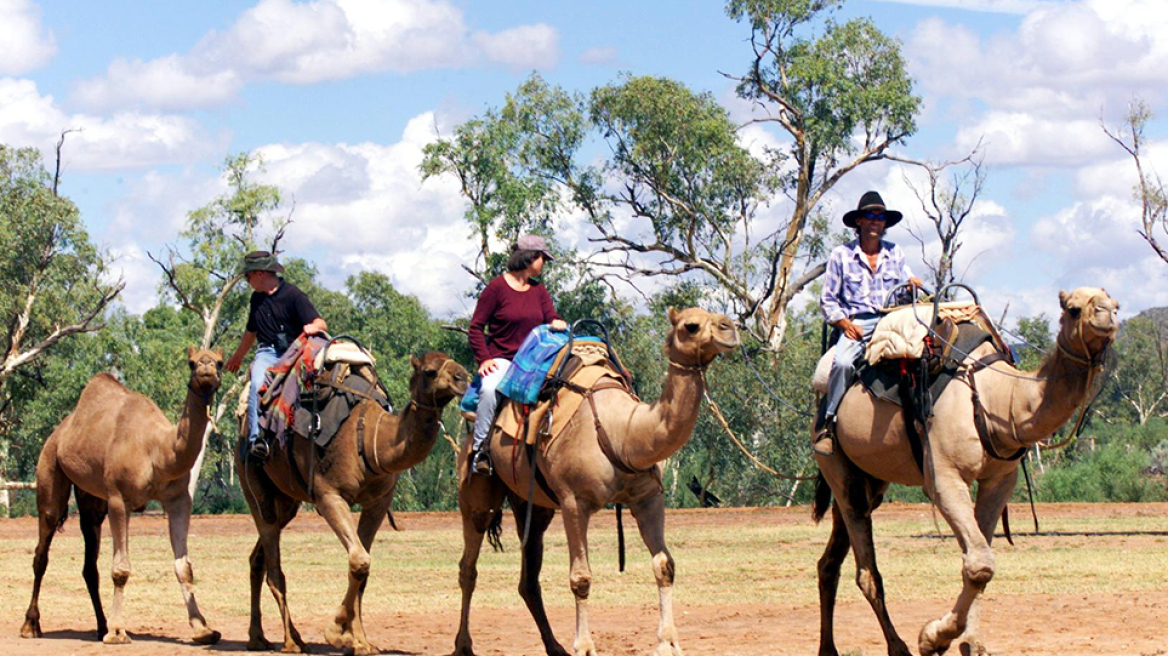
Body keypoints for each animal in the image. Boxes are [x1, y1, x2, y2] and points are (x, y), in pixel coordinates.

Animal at [20, 345, 224, 639]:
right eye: (191, 363)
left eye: (220, 363)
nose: (206, 368)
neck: (158, 450)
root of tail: (59, 431)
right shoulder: (119, 498)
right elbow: (120, 569)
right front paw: (117, 632)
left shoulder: (178, 500)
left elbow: (183, 566)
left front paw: (202, 628)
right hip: (50, 468)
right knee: (42, 549)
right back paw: (31, 626)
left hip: (92, 498)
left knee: (89, 561)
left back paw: (100, 625)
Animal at [239, 350, 467, 648]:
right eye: (430, 371)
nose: (464, 377)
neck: (370, 439)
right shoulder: (329, 495)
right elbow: (359, 561)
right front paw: (336, 631)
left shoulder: (379, 502)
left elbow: (364, 568)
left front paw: (361, 641)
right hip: (254, 484)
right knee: (274, 563)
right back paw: (292, 642)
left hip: (287, 500)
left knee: (258, 558)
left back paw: (258, 637)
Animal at [453, 305, 738, 653]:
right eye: (692, 325)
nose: (730, 328)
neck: (623, 432)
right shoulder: (574, 502)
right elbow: (581, 578)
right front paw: (585, 647)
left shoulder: (648, 498)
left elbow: (664, 565)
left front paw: (668, 643)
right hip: (477, 494)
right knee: (469, 566)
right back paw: (464, 645)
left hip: (532, 504)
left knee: (528, 578)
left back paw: (554, 647)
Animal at [812, 287, 1121, 653]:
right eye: (1073, 308)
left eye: (1115, 304)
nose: (1107, 314)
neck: (996, 401)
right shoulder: (944, 478)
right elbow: (979, 564)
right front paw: (933, 638)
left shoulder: (1000, 480)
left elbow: (978, 558)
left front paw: (971, 642)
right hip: (835, 463)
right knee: (866, 567)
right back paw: (897, 647)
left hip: (869, 478)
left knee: (831, 560)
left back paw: (828, 648)